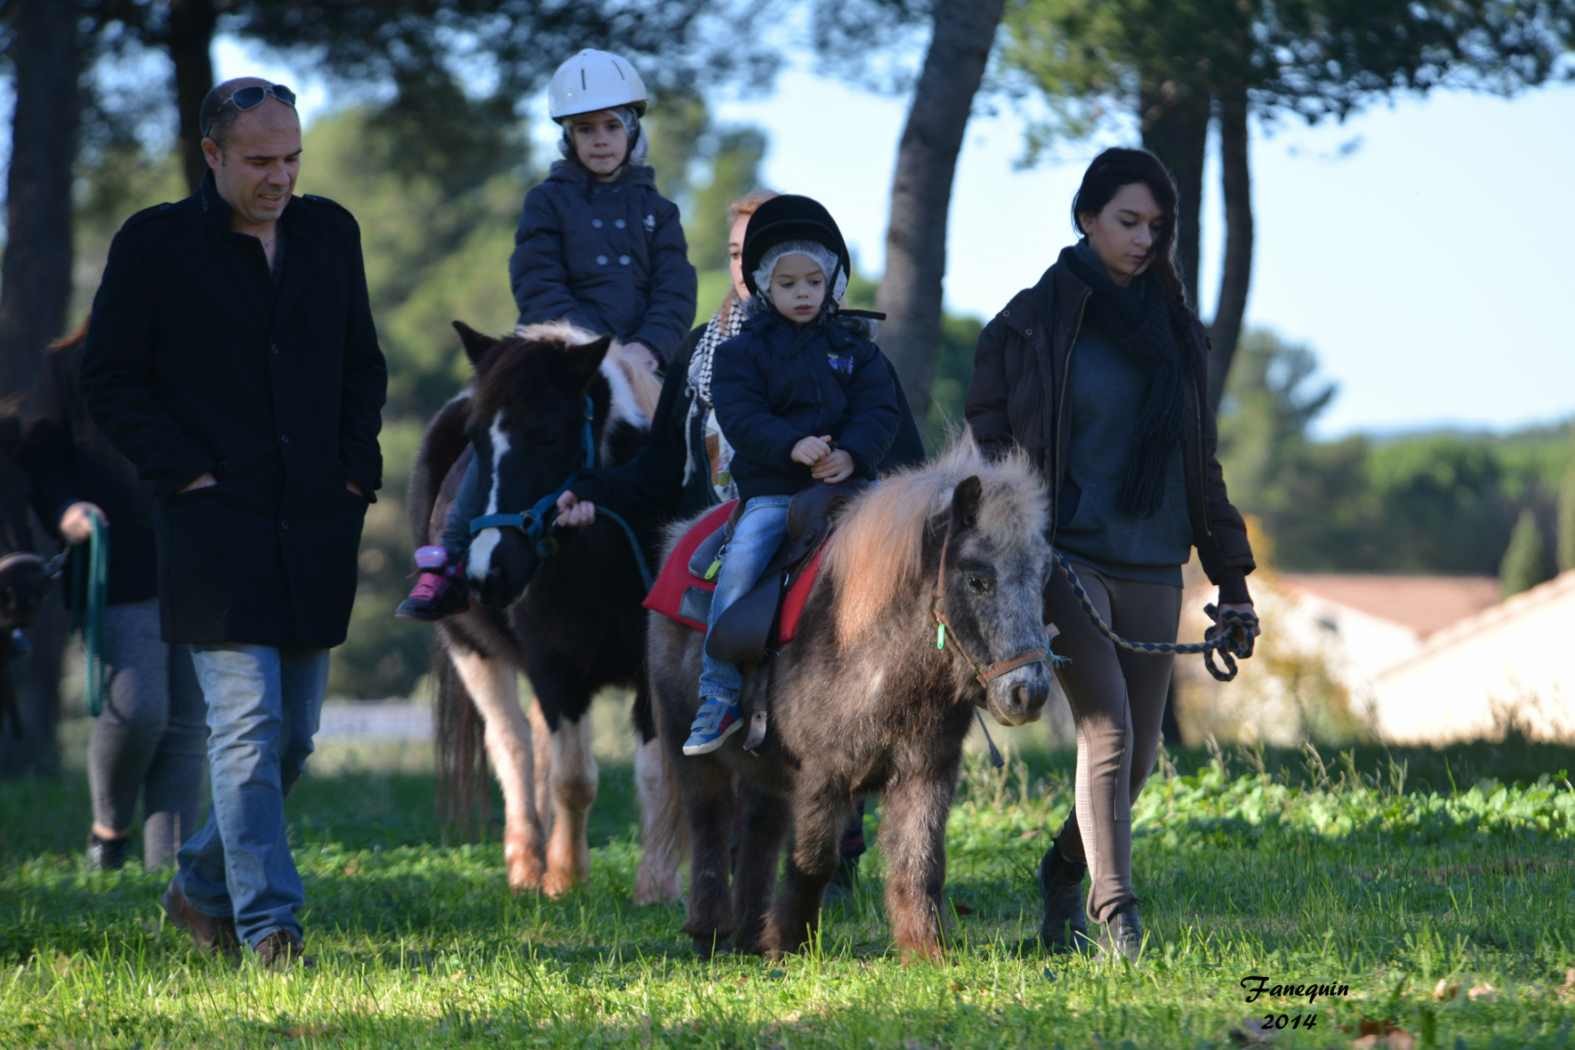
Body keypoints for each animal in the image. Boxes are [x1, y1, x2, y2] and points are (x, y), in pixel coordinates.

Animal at [409, 322, 680, 906]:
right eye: (477, 440)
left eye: (550, 435)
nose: (488, 571)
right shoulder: (555, 667)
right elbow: (572, 778)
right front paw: (565, 877)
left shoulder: (651, 671)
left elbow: (656, 773)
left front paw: (657, 885)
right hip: (473, 653)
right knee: (512, 746)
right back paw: (527, 865)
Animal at [639, 440, 1058, 963]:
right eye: (978, 579)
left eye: (1043, 577)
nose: (1028, 692)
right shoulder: (824, 775)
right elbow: (815, 858)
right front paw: (792, 942)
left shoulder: (926, 773)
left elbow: (921, 860)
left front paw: (925, 949)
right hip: (694, 754)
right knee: (710, 828)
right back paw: (710, 932)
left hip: (763, 772)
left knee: (758, 832)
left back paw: (751, 935)